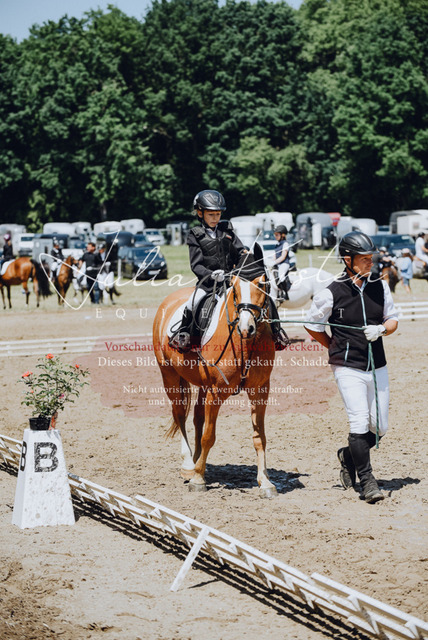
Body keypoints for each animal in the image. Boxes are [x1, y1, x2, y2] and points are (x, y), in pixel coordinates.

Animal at [153, 247, 278, 497]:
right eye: (235, 288)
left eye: (262, 283)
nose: (246, 328)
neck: (243, 344)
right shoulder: (216, 392)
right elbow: (209, 436)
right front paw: (198, 479)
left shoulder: (260, 391)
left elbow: (259, 437)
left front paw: (265, 482)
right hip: (169, 376)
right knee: (180, 414)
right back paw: (188, 466)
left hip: (202, 386)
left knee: (197, 417)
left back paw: (196, 462)